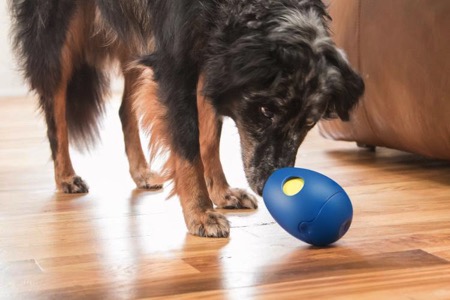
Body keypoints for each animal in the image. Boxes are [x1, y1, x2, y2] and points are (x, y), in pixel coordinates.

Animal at [8, 1, 364, 238]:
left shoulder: (209, 55)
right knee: (55, 108)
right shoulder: (176, 62)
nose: (271, 185)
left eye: (309, 122)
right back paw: (66, 177)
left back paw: (140, 171)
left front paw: (221, 193)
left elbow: (209, 137)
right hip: (57, 32)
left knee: (124, 108)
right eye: (265, 111)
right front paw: (201, 213)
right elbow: (188, 143)